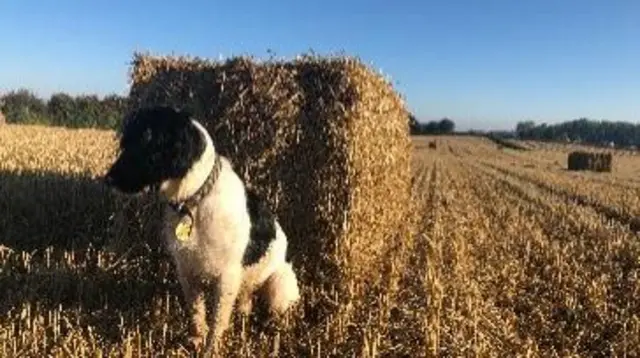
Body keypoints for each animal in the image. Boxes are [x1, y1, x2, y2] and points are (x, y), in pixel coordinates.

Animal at [104, 106, 300, 356]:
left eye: (145, 142)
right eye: (125, 144)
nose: (108, 179)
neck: (195, 203)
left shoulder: (226, 277)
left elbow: (217, 320)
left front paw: (211, 348)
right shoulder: (187, 272)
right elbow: (197, 313)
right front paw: (196, 341)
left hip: (279, 285)